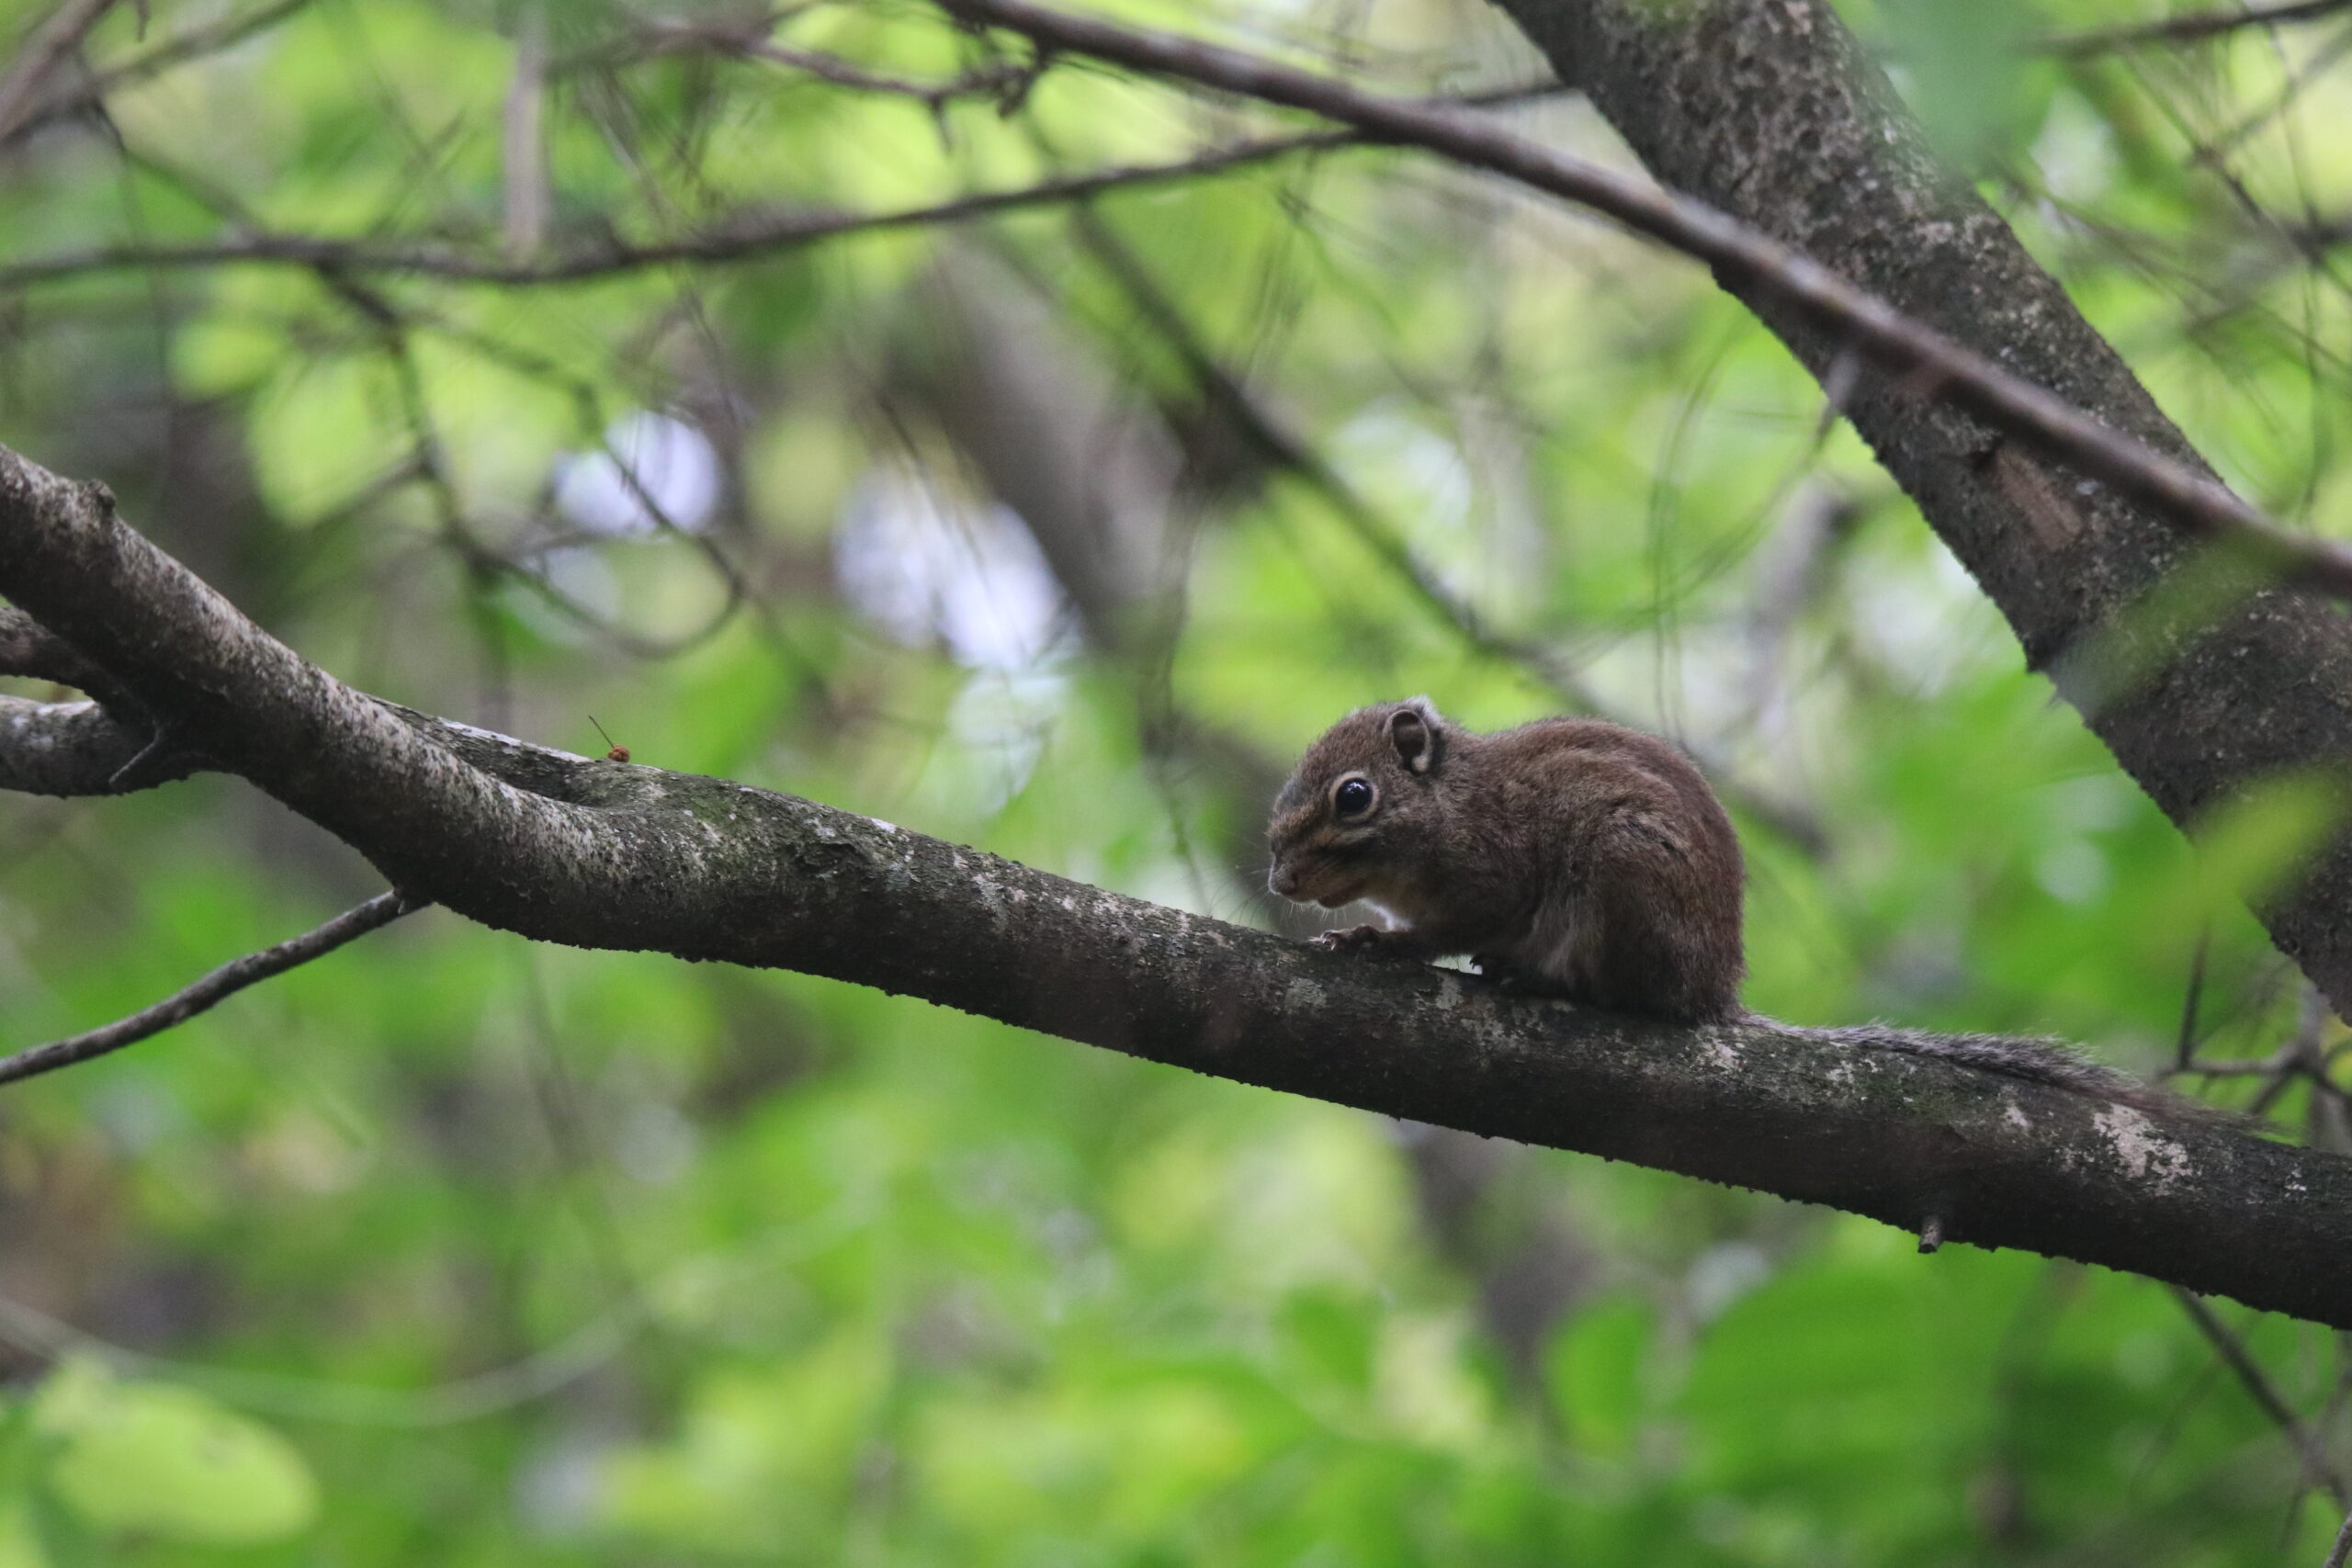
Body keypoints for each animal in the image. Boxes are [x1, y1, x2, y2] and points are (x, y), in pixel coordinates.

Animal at [1267, 697, 2215, 1121]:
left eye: (1354, 795)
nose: (1277, 876)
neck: (1450, 804)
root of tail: (1713, 987)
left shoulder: (1488, 877)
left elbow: (1444, 933)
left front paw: (1382, 942)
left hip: (1623, 876)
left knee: (1628, 995)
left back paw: (1542, 980)